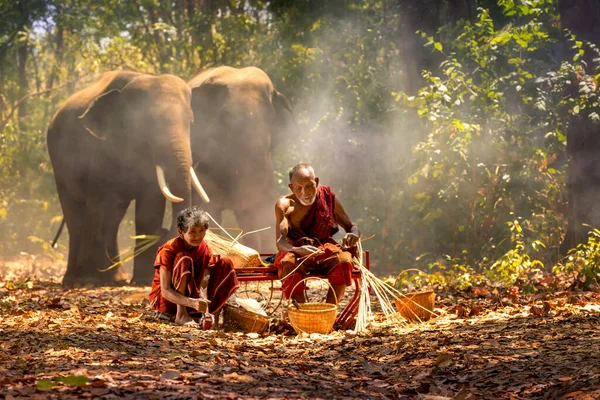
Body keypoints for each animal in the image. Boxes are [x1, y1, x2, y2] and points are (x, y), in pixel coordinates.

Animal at [46, 69, 209, 288]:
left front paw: (142, 280)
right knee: (76, 213)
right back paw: (75, 280)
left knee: (113, 217)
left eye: (191, 123)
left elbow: (149, 206)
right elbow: (97, 202)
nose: (163, 231)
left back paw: (116, 278)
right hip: (59, 163)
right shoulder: (97, 148)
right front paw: (87, 280)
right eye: (146, 124)